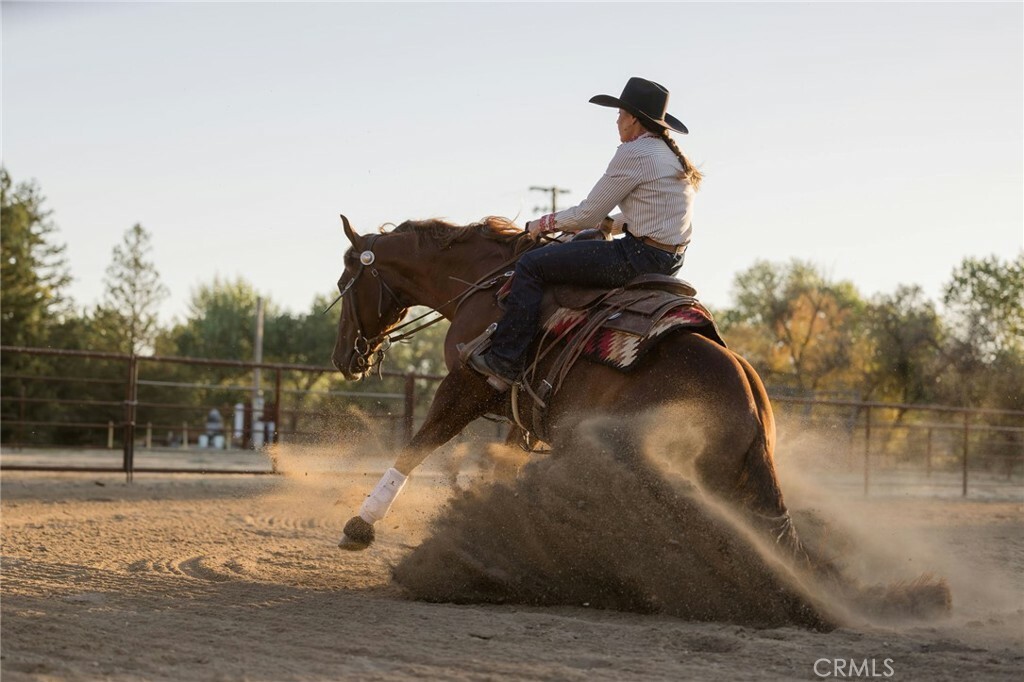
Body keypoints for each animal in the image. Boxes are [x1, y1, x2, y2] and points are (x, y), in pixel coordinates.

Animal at [331, 215, 802, 557]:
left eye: (341, 283)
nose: (342, 358)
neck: (486, 285)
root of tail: (753, 409)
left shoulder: (468, 384)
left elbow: (417, 447)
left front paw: (360, 526)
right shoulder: (520, 411)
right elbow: (501, 463)